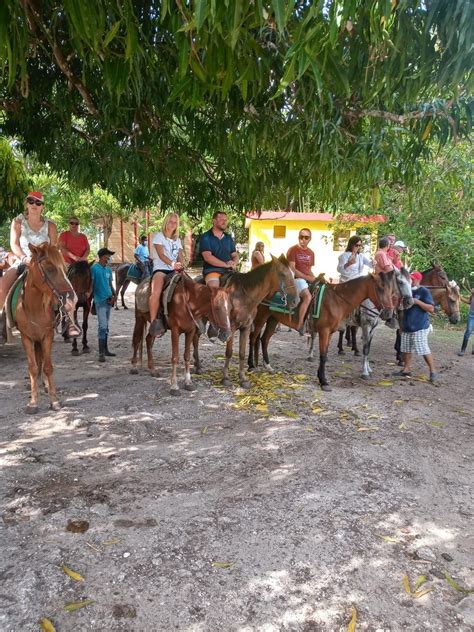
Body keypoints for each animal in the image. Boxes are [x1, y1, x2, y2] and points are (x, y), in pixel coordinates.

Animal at [12, 243, 77, 414]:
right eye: (50, 268)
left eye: (64, 268)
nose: (71, 297)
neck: (34, 307)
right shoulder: (26, 337)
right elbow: (33, 368)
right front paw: (33, 403)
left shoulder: (47, 336)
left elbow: (47, 367)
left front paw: (54, 400)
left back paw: (45, 385)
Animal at [192, 254, 296, 388]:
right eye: (282, 274)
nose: (295, 300)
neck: (242, 297)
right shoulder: (231, 328)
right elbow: (229, 352)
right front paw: (225, 378)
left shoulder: (245, 327)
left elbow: (242, 352)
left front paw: (243, 378)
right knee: (195, 339)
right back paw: (198, 366)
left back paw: (197, 365)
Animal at [248, 268, 408, 388]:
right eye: (380, 288)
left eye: (391, 289)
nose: (388, 313)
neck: (336, 300)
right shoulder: (325, 331)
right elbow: (323, 356)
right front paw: (324, 381)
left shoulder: (330, 332)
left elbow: (323, 355)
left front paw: (321, 378)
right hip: (261, 316)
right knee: (253, 338)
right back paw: (251, 365)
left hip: (273, 319)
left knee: (264, 339)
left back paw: (267, 365)